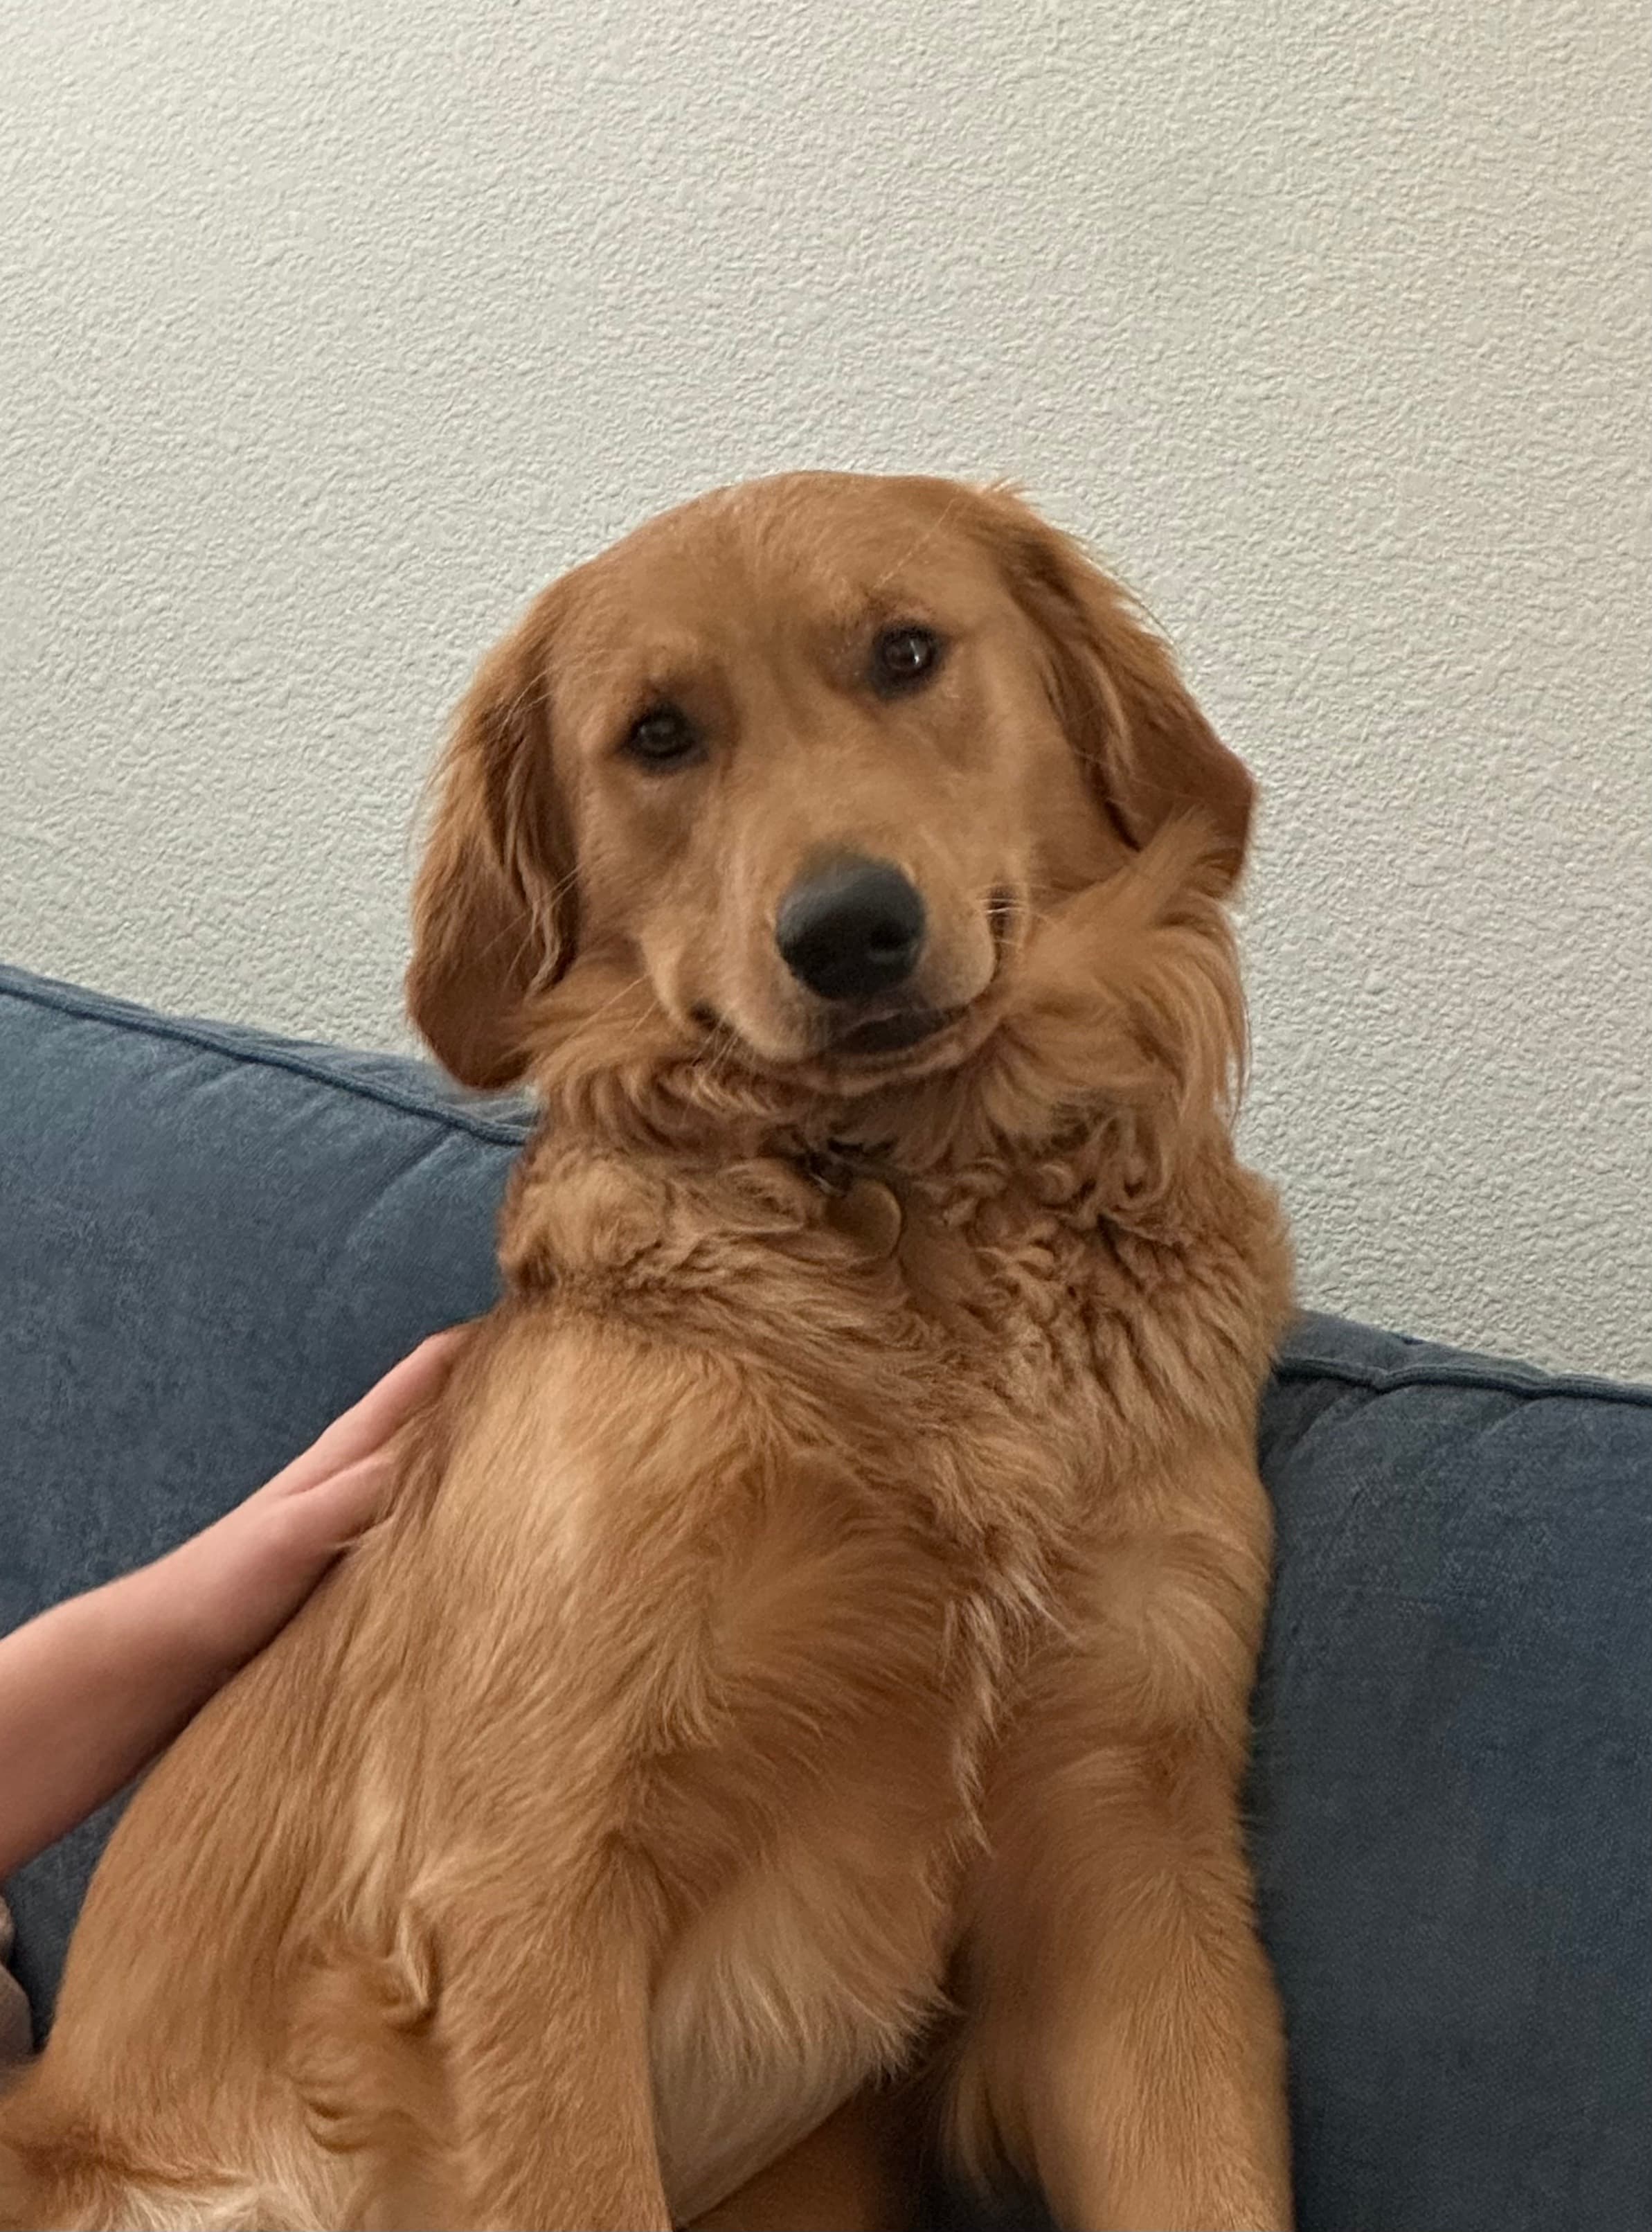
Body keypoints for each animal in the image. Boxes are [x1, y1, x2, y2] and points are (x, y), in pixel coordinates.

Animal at [0, 475, 1295, 2232]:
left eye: (905, 652)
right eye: (658, 737)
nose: (849, 930)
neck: (915, 1205)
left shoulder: (1128, 1837)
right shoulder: (526, 1874)